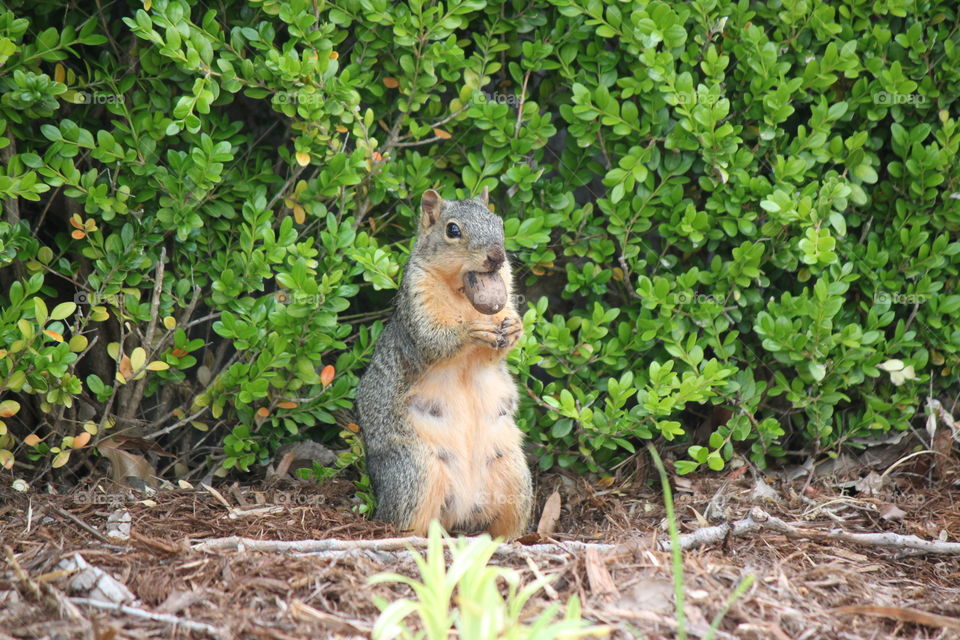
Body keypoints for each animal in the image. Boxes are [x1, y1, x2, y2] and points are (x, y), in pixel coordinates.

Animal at [356, 188, 532, 536]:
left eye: (499, 222)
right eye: (452, 230)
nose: (497, 256)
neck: (463, 291)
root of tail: (462, 509)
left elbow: (499, 347)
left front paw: (515, 328)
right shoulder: (418, 306)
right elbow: (433, 341)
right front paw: (471, 331)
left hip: (514, 475)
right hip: (416, 471)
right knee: (405, 520)